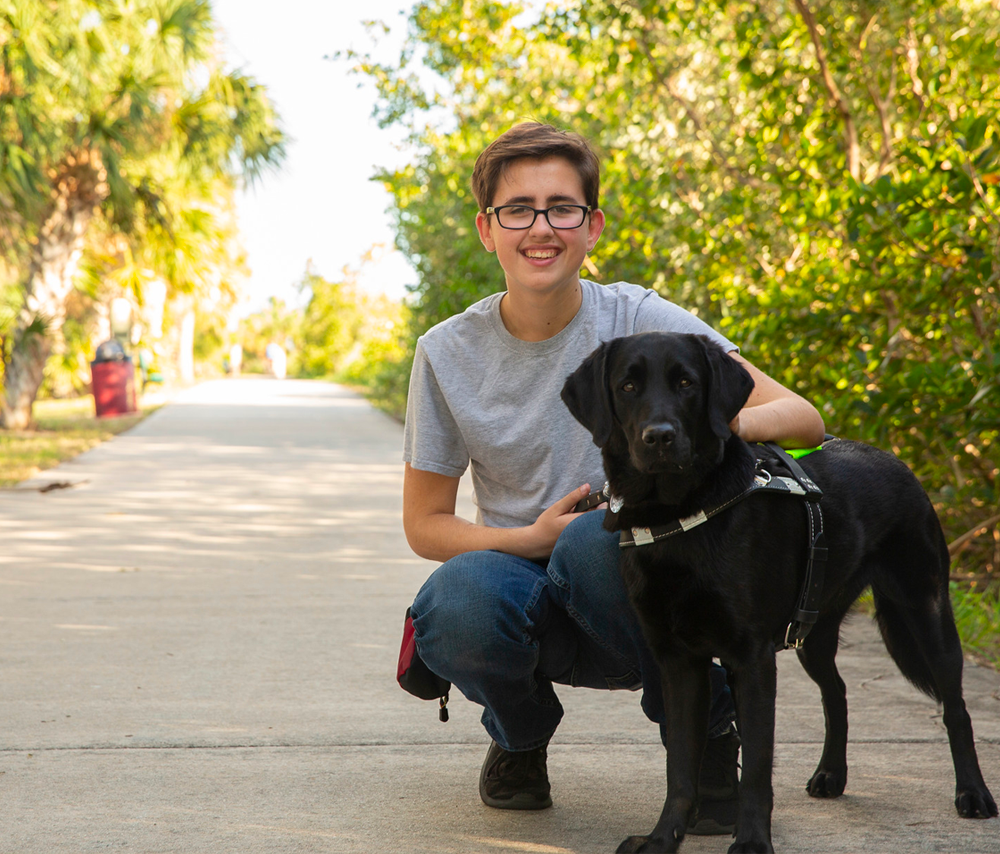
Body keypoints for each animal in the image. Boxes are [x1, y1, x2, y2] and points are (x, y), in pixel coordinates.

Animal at [560, 332, 996, 854]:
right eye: (627, 386)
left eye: (686, 383)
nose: (659, 436)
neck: (680, 517)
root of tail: (896, 460)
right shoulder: (678, 662)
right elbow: (679, 768)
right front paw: (662, 838)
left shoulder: (751, 659)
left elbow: (757, 768)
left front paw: (751, 841)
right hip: (814, 629)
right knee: (837, 692)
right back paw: (831, 774)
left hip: (926, 611)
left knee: (955, 708)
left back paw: (973, 793)